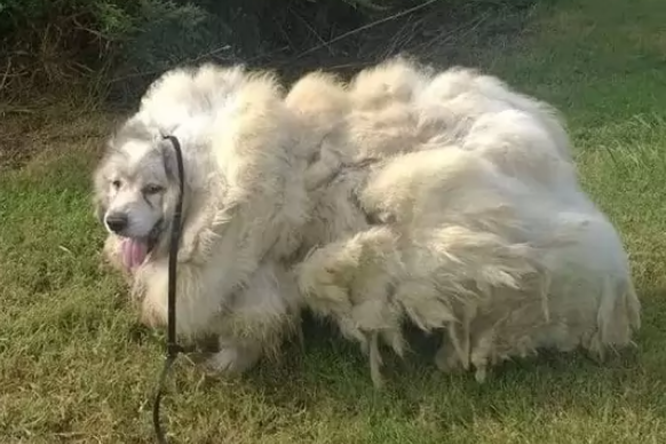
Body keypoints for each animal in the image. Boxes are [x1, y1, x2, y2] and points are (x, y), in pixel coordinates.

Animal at [92, 57, 640, 386]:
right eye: (117, 184)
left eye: (154, 189)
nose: (115, 222)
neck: (211, 183)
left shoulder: (257, 279)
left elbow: (246, 327)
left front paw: (226, 366)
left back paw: (457, 357)